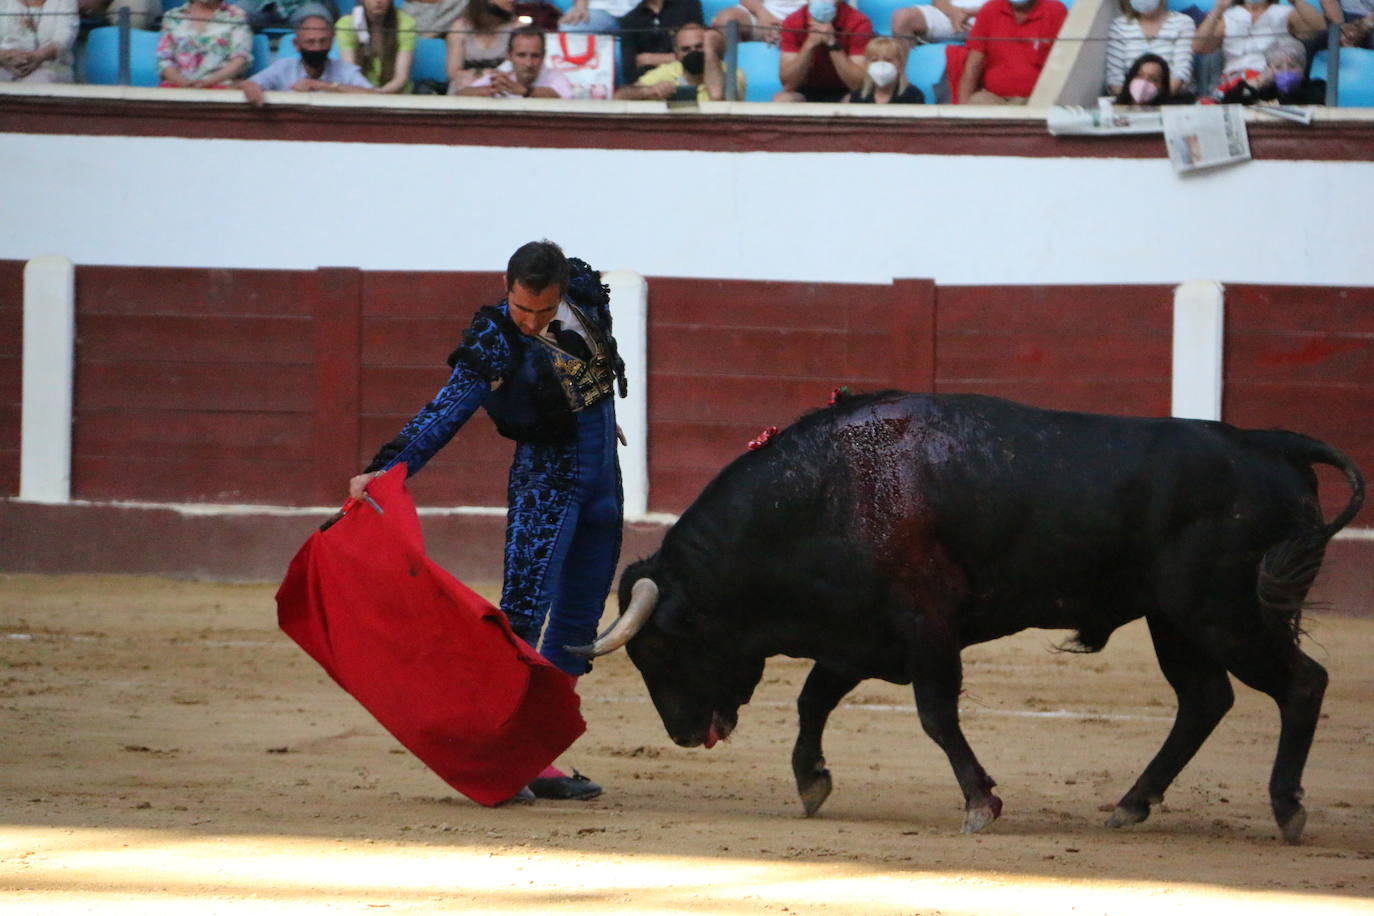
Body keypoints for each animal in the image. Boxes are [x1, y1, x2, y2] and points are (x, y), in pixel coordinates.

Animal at [568, 390, 1363, 840]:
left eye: (659, 650)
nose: (680, 734)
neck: (825, 494)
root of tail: (1269, 442)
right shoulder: (858, 636)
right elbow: (813, 699)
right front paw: (811, 781)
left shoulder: (925, 628)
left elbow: (934, 715)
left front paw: (980, 803)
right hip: (1175, 622)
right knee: (1204, 700)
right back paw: (1132, 804)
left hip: (1223, 614)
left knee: (1301, 684)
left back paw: (1287, 810)